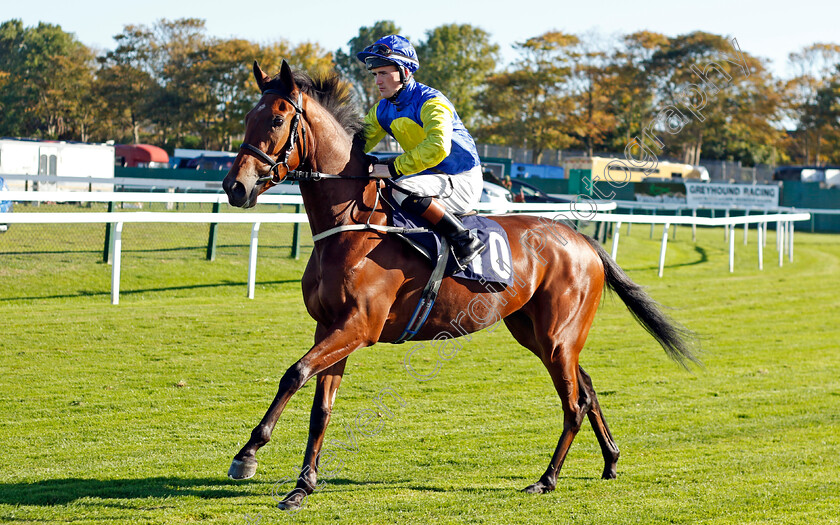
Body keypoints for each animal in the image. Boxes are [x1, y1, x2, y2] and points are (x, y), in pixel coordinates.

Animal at [220, 60, 700, 508]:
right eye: (246, 117)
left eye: (278, 120)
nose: (234, 186)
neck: (353, 227)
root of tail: (582, 240)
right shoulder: (331, 326)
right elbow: (321, 407)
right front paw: (302, 486)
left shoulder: (359, 327)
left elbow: (294, 373)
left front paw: (247, 454)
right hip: (538, 334)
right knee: (588, 388)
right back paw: (611, 460)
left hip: (557, 336)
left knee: (573, 404)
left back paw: (546, 479)